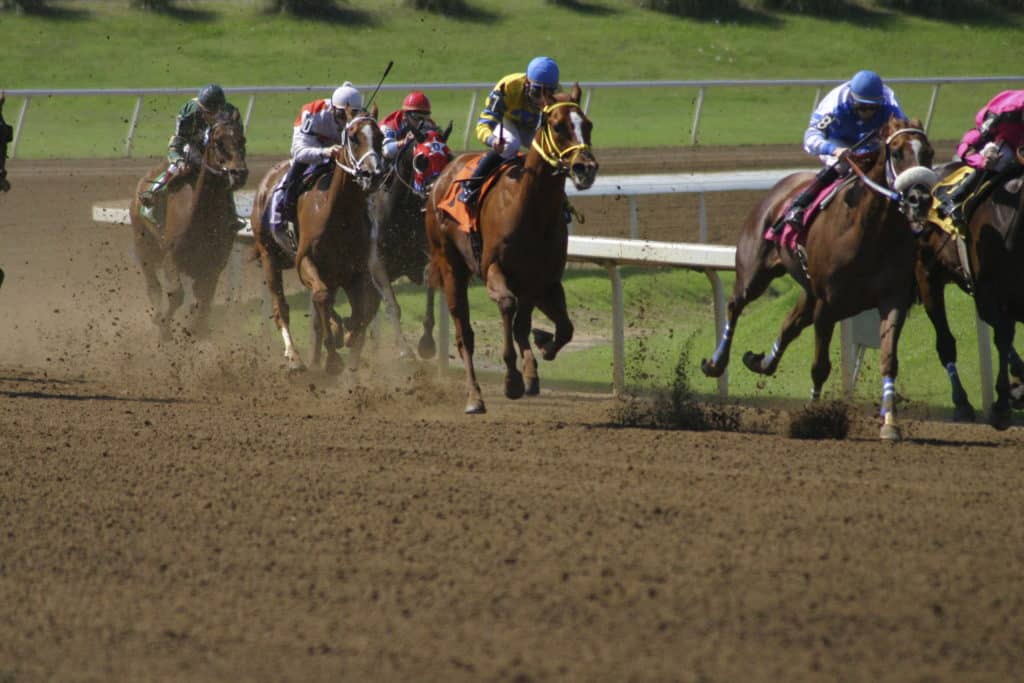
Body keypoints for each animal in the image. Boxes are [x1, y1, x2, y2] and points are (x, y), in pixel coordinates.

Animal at [130, 110, 247, 342]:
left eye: (242, 139)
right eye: (218, 142)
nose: (239, 173)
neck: (201, 217)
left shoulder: (214, 264)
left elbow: (204, 299)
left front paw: (196, 330)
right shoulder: (171, 256)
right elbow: (176, 294)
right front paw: (165, 330)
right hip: (144, 244)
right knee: (153, 286)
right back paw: (157, 316)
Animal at [250, 108, 385, 374]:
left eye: (381, 136)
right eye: (353, 137)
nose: (372, 175)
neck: (339, 211)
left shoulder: (356, 269)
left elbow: (369, 303)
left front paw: (348, 332)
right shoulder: (305, 260)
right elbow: (320, 296)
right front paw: (333, 359)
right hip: (270, 256)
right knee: (282, 308)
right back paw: (295, 357)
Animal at [366, 120, 450, 360]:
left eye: (448, 157)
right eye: (422, 160)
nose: (437, 191)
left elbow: (430, 279)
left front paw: (427, 343)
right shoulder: (377, 264)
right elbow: (392, 306)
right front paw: (405, 349)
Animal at [423, 85, 598, 417]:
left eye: (588, 125)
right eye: (558, 126)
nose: (586, 169)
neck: (529, 209)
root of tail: (442, 177)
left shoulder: (543, 280)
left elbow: (561, 328)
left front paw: (541, 348)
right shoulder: (494, 268)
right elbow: (507, 306)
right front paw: (512, 379)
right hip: (451, 267)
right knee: (464, 334)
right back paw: (474, 397)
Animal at [704, 115, 937, 440]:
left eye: (928, 152)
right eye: (897, 152)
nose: (919, 199)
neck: (870, 232)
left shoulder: (893, 299)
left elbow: (888, 360)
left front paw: (890, 423)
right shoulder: (827, 305)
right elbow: (820, 366)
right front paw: (813, 418)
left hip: (809, 291)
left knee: (789, 324)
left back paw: (760, 361)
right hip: (755, 273)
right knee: (735, 305)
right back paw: (715, 363)